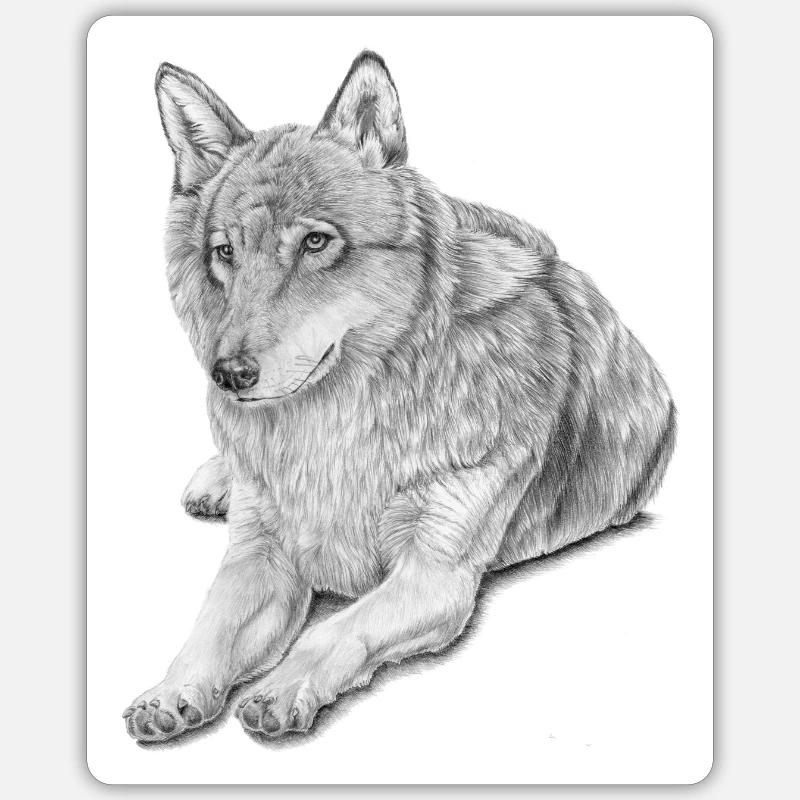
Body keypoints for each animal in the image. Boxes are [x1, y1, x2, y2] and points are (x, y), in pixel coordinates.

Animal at [123, 51, 676, 743]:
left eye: (316, 242)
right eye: (225, 252)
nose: (229, 375)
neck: (335, 427)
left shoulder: (435, 576)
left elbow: (336, 629)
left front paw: (279, 689)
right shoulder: (260, 554)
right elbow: (208, 629)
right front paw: (170, 692)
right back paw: (215, 480)